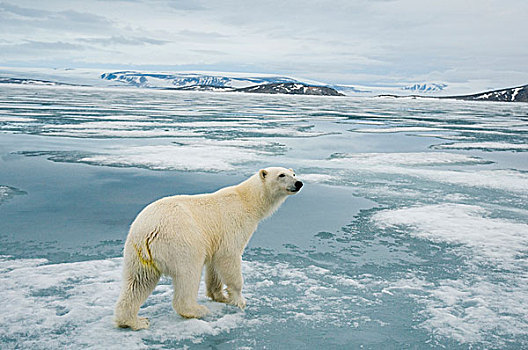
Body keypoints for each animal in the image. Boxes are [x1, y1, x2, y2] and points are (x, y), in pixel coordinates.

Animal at [113, 167, 304, 330]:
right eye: (281, 175)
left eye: (293, 173)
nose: (299, 183)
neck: (247, 201)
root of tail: (147, 231)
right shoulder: (233, 226)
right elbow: (229, 258)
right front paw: (240, 300)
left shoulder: (216, 240)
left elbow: (214, 266)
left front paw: (220, 296)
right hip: (182, 241)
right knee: (188, 274)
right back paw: (197, 310)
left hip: (138, 253)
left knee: (139, 281)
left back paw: (135, 321)